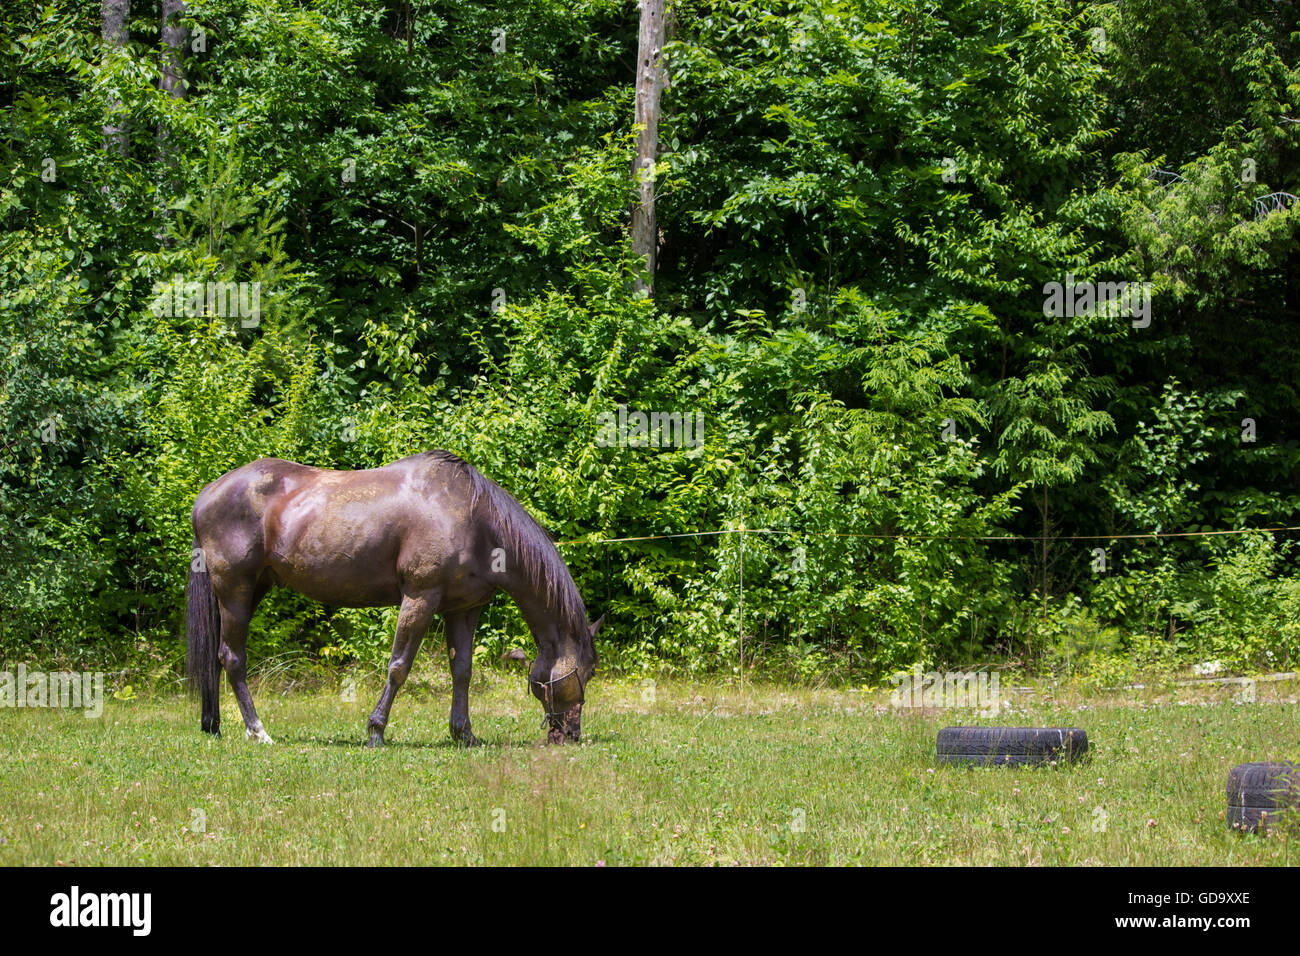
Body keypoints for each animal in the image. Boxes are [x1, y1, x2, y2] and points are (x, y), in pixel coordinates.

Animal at [185, 455, 600, 749]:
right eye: (587, 671)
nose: (571, 733)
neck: (472, 517)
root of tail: (207, 494)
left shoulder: (463, 609)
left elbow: (462, 671)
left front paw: (464, 734)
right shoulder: (420, 596)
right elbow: (399, 666)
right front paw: (375, 730)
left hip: (249, 590)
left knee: (218, 658)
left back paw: (214, 726)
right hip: (235, 590)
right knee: (233, 659)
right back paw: (258, 731)